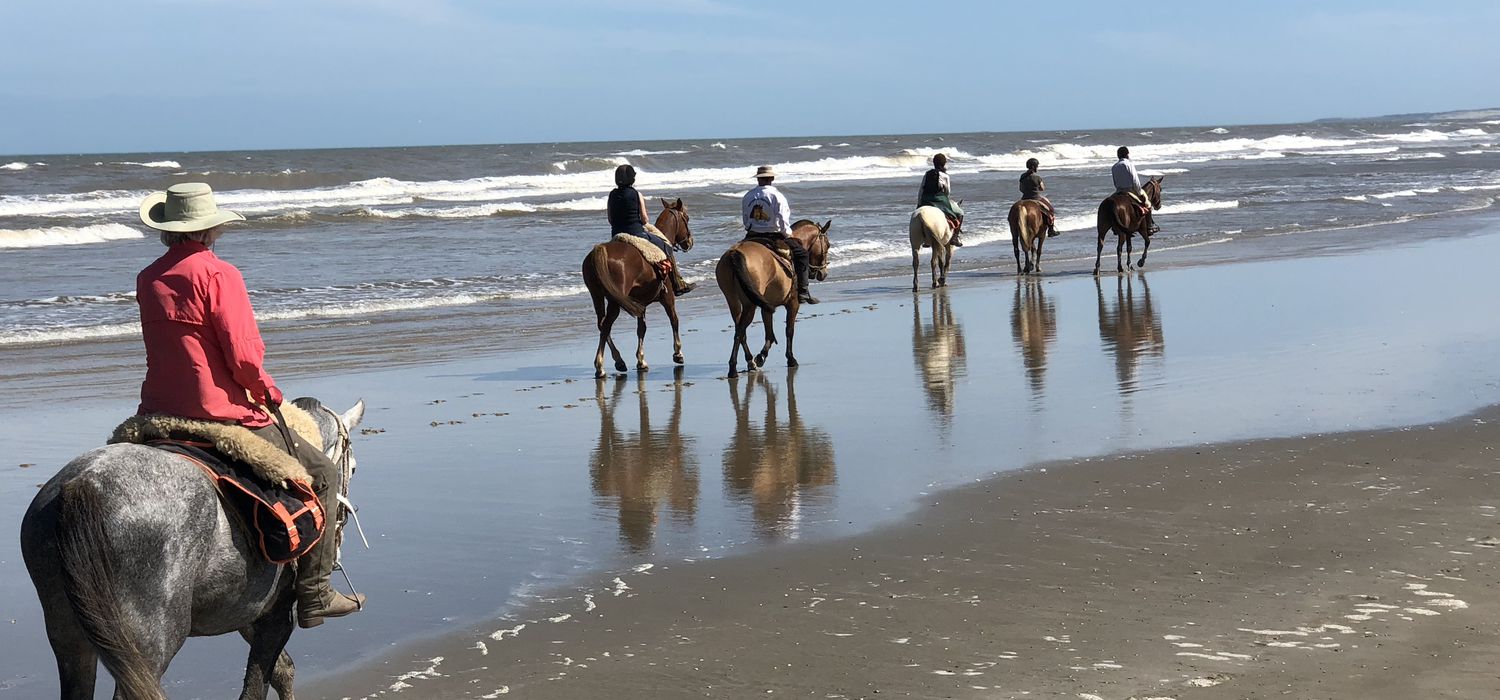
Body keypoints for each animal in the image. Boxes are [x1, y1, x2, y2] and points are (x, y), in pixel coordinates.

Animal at [23, 398, 366, 700]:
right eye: (353, 469)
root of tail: (82, 485)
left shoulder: (246, 610)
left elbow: (281, 671)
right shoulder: (276, 614)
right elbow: (258, 685)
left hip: (70, 636)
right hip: (149, 642)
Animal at [582, 199, 693, 377]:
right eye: (686, 218)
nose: (689, 242)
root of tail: (599, 250)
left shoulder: (641, 303)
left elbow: (642, 329)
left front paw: (641, 360)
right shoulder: (667, 298)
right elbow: (674, 320)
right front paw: (678, 353)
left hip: (597, 295)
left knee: (601, 323)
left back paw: (618, 361)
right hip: (615, 300)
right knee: (606, 325)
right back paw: (601, 365)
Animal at [714, 221, 834, 380]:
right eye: (828, 245)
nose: (823, 273)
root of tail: (734, 253)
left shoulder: (766, 306)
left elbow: (769, 332)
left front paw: (761, 356)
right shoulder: (793, 303)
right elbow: (789, 330)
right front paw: (790, 359)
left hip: (733, 301)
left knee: (740, 331)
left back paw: (749, 361)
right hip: (749, 304)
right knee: (740, 330)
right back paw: (733, 368)